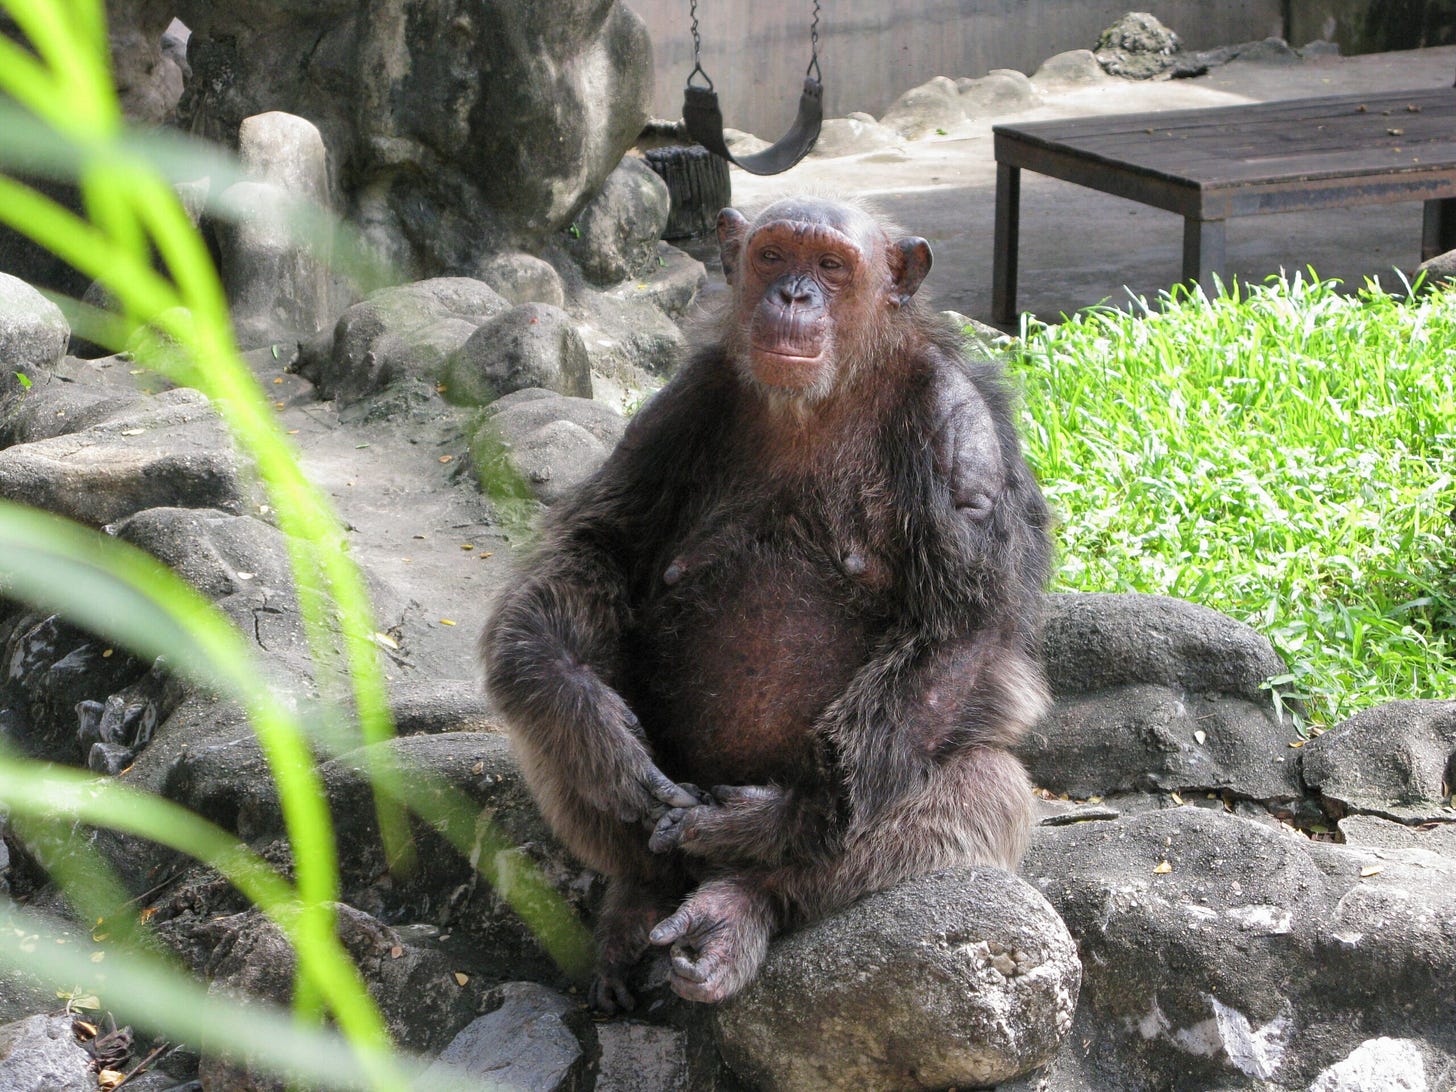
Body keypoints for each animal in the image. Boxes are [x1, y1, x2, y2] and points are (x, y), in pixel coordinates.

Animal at [481, 195, 1052, 1010]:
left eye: (833, 266)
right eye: (774, 255)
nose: (794, 296)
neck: (822, 399)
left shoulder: (959, 431)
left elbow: (955, 629)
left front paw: (771, 821)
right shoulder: (676, 405)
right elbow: (602, 544)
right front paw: (585, 719)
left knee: (981, 785)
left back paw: (735, 906)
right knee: (544, 721)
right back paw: (637, 898)